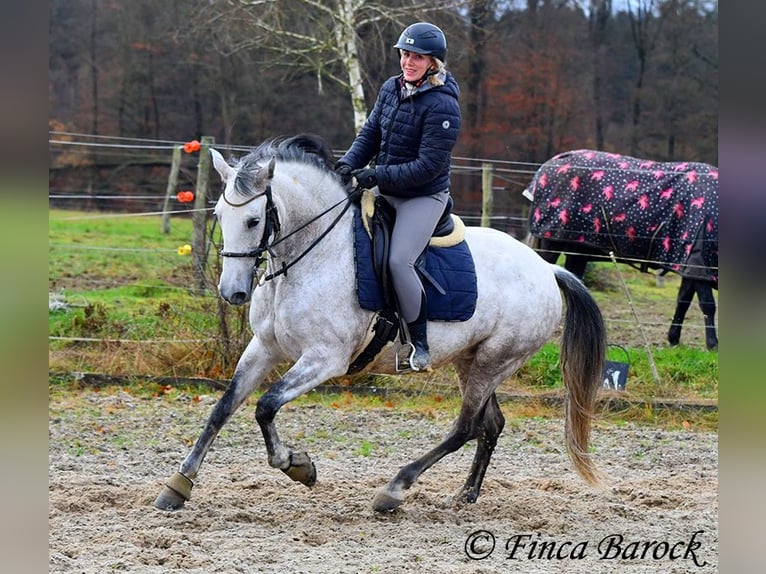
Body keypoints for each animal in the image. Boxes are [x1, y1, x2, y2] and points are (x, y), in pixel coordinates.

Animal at [153, 136, 608, 516]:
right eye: (218, 214)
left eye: (252, 221)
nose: (232, 292)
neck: (310, 256)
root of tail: (548, 269)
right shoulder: (265, 347)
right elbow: (223, 408)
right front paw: (178, 485)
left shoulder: (325, 358)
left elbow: (266, 405)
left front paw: (298, 466)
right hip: (473, 360)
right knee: (490, 424)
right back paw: (464, 495)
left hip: (495, 360)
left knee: (465, 427)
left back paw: (394, 490)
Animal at [528, 150, 720, 352]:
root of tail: (549, 165)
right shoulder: (699, 264)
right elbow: (708, 305)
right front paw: (713, 344)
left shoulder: (690, 265)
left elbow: (683, 301)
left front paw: (674, 338)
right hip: (551, 241)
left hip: (578, 248)